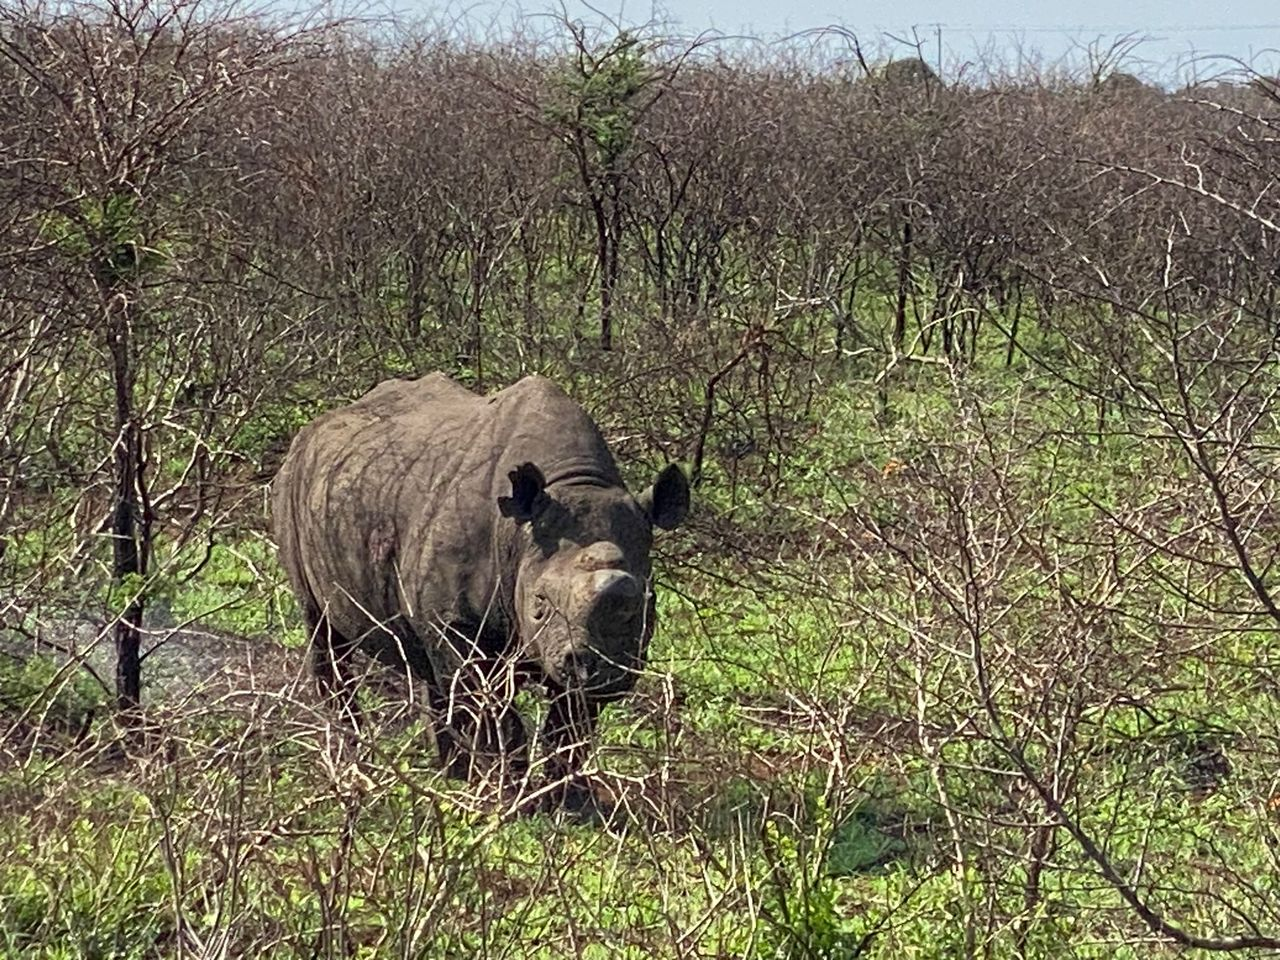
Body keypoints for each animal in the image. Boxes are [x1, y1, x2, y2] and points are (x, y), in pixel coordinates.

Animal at [271, 373, 689, 808]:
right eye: (539, 604)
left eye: (648, 606)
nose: (601, 669)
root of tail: (310, 431)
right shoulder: (458, 621)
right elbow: (495, 713)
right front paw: (510, 798)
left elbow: (569, 727)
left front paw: (565, 803)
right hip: (293, 490)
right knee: (322, 631)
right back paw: (358, 765)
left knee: (431, 668)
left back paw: (450, 777)